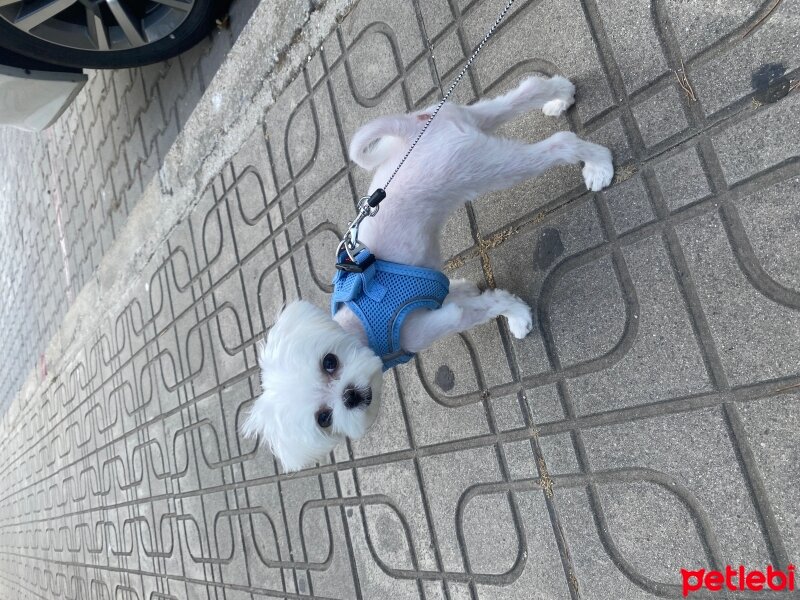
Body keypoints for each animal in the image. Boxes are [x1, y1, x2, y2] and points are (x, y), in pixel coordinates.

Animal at [242, 75, 612, 472]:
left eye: (330, 362)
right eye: (323, 418)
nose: (351, 394)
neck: (361, 326)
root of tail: (408, 132)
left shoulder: (440, 322)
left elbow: (486, 306)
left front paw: (518, 318)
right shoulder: (438, 292)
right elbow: (470, 294)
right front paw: (496, 302)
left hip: (488, 167)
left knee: (561, 143)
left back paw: (598, 165)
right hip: (473, 124)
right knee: (525, 92)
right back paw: (560, 97)